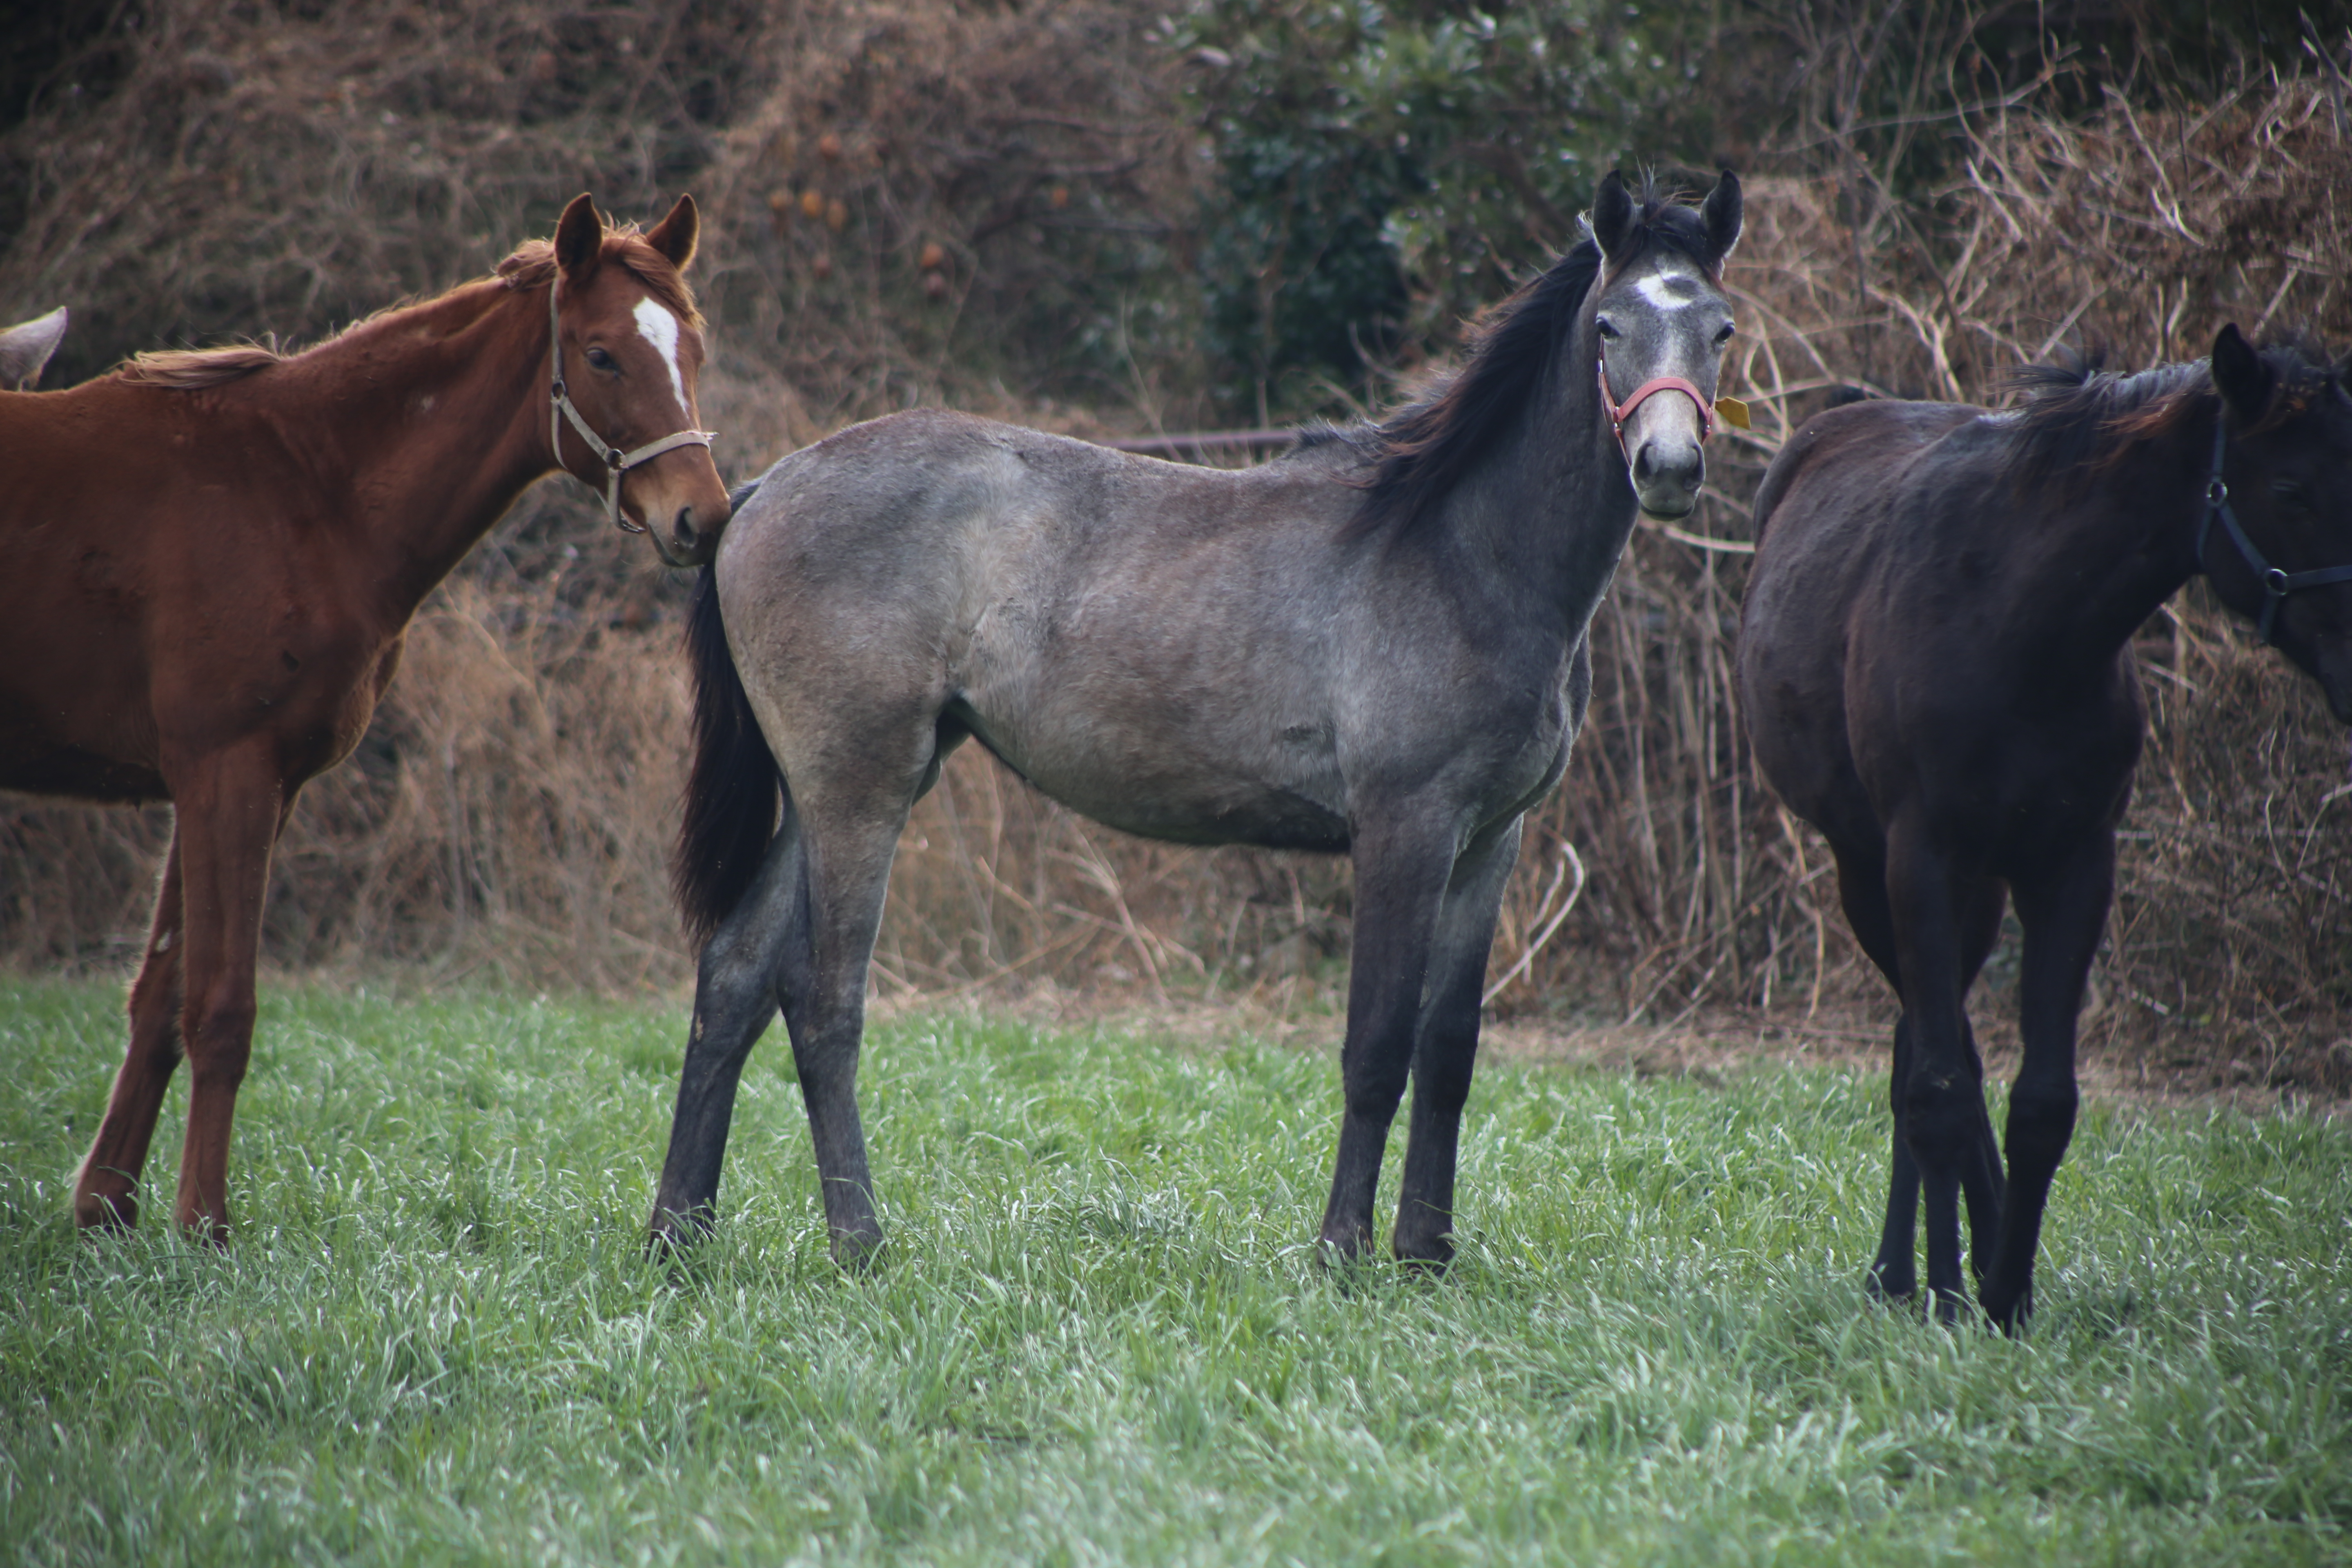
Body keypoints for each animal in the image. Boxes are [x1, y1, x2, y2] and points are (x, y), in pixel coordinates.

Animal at [0, 193, 729, 1241]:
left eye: (694, 350)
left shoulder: (236, 785)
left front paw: (107, 1207)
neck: (301, 491)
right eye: (601, 355)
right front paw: (204, 1224)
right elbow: (220, 1006)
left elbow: (161, 997)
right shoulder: (227, 773)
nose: (701, 520)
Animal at [654, 172, 1740, 1260]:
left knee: (734, 977)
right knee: (821, 997)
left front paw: (1426, 1256)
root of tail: (759, 493)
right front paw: (1341, 1252)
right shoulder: (1405, 827)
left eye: (1720, 328)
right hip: (858, 789)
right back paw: (859, 1241)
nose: (1668, 467)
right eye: (1607, 324)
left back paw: (678, 1237)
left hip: (834, 791)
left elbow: (1447, 1051)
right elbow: (1377, 1045)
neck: (1463, 552)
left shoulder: (1490, 842)